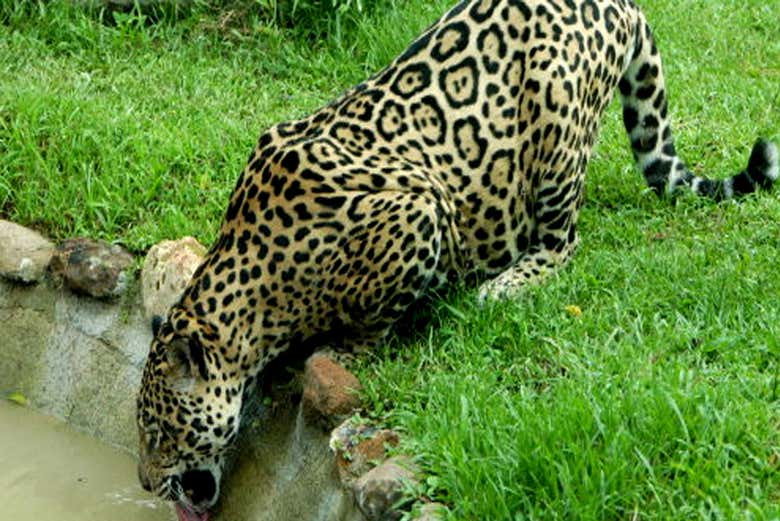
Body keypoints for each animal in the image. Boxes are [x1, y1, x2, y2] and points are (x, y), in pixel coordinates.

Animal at [135, 0, 778, 518]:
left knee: (563, 241)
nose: (144, 484)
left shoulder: (418, 213)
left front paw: (343, 351)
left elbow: (371, 316)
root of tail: (623, 5)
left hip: (556, 123)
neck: (258, 289)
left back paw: (506, 284)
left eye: (161, 435)